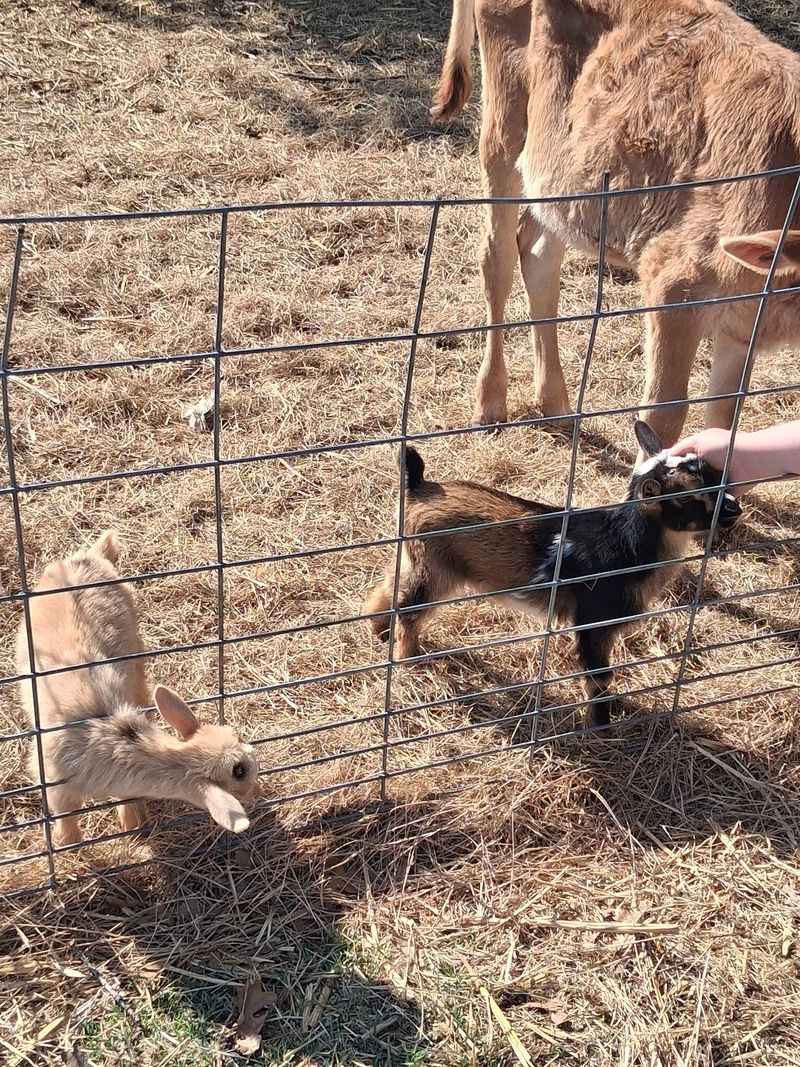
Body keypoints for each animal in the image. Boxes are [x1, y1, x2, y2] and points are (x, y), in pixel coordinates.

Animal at [364, 421, 741, 728]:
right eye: (691, 498)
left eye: (713, 472)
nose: (734, 508)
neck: (625, 543)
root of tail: (419, 486)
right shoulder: (594, 620)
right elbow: (599, 674)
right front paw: (601, 724)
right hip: (437, 570)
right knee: (411, 610)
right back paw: (410, 657)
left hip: (416, 559)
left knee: (391, 588)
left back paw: (380, 631)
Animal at [432, 0, 800, 453]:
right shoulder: (674, 283)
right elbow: (662, 416)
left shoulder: (742, 321)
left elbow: (724, 423)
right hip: (503, 132)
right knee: (496, 258)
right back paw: (490, 403)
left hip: (562, 179)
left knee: (538, 257)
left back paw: (554, 403)